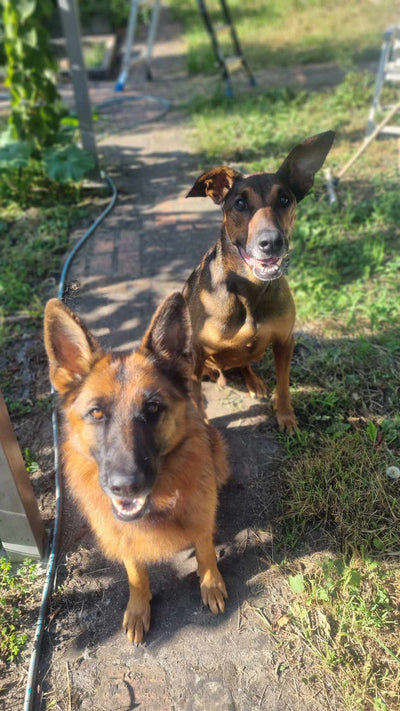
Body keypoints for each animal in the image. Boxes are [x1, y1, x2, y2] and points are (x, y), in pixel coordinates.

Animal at [43, 294, 228, 644]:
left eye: (152, 408)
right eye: (96, 413)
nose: (126, 486)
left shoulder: (201, 515)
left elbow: (206, 550)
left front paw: (211, 583)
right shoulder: (123, 536)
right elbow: (136, 573)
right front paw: (139, 608)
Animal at [184, 133, 334, 434]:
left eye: (285, 199)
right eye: (240, 204)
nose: (272, 242)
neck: (249, 290)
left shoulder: (284, 341)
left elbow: (284, 385)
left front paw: (286, 417)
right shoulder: (196, 352)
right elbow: (195, 394)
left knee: (244, 363)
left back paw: (254, 382)